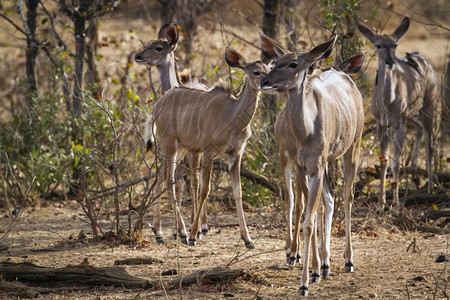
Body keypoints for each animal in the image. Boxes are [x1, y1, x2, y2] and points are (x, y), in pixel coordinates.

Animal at [134, 24, 209, 244]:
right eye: (148, 43)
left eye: (159, 47)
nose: (138, 56)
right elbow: (171, 180)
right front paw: (162, 230)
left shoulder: (190, 150)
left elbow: (191, 182)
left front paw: (193, 230)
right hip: (180, 150)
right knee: (172, 178)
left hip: (191, 151)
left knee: (194, 180)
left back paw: (200, 227)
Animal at [153, 47, 268, 248]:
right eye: (256, 71)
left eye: (269, 69)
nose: (268, 83)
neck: (232, 117)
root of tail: (157, 105)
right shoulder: (208, 152)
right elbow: (204, 190)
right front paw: (194, 235)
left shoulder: (235, 154)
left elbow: (238, 192)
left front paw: (248, 239)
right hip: (169, 143)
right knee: (169, 180)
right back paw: (182, 233)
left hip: (181, 148)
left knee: (161, 176)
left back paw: (159, 233)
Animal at [258, 32, 364, 296]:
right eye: (275, 62)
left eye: (293, 63)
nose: (264, 81)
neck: (306, 131)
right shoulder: (302, 166)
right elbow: (308, 213)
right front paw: (315, 270)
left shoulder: (315, 166)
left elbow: (309, 220)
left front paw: (305, 283)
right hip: (326, 162)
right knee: (329, 199)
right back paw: (324, 263)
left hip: (353, 148)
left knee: (347, 196)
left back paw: (348, 260)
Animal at [358, 17, 436, 213]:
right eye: (378, 45)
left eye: (394, 44)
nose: (390, 61)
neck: (386, 103)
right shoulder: (381, 124)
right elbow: (383, 161)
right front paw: (380, 206)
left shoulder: (398, 124)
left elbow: (395, 163)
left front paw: (395, 206)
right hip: (412, 114)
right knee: (418, 130)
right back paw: (414, 169)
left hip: (428, 107)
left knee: (429, 145)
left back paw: (431, 189)